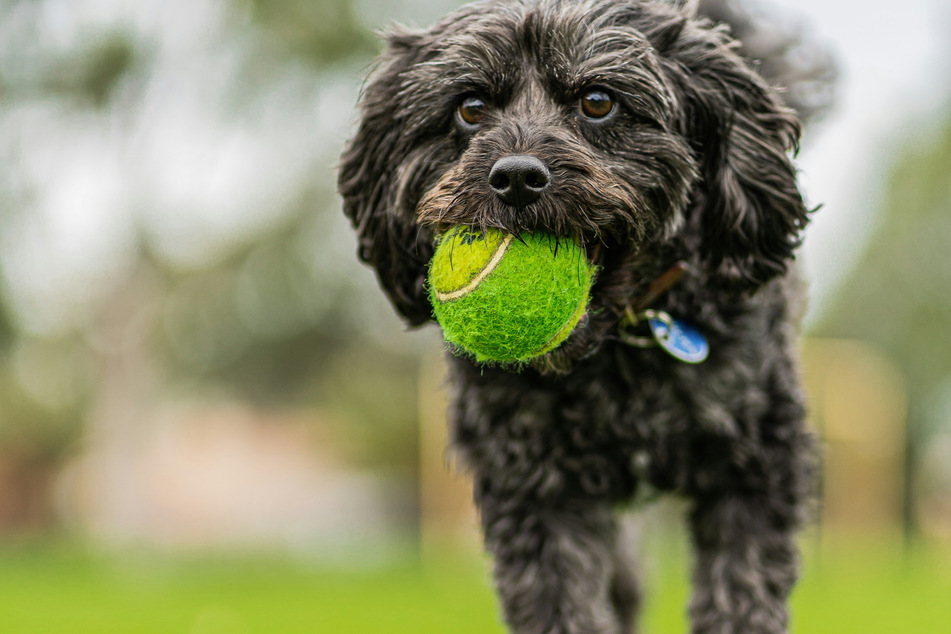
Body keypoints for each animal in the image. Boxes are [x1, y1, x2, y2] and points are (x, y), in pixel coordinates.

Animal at [340, 2, 832, 628]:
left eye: (598, 100)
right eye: (470, 107)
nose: (517, 177)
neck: (616, 357)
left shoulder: (756, 461)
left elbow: (741, 593)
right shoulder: (535, 485)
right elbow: (559, 601)